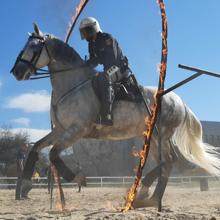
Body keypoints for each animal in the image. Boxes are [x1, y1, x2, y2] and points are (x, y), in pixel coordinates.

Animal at [10, 24, 220, 208]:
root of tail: (179, 101)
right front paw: (26, 185)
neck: (73, 85)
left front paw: (78, 178)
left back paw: (147, 196)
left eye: (34, 47)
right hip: (153, 138)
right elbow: (36, 148)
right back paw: (145, 195)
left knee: (169, 162)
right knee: (167, 162)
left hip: (161, 136)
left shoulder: (77, 130)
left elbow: (53, 154)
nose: (16, 72)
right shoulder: (61, 130)